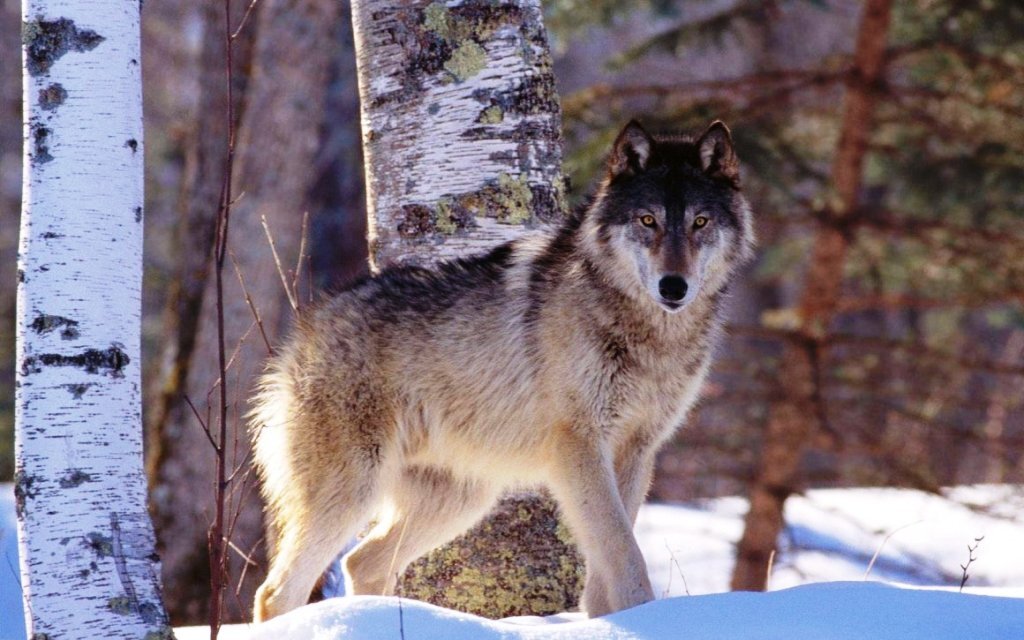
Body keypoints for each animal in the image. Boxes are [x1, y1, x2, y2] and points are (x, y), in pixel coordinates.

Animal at [251, 118, 757, 618]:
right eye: (648, 220)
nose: (673, 287)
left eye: (700, 222)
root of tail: (304, 328)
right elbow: (624, 552)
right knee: (275, 592)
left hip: (461, 501)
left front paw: (611, 622)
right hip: (354, 491)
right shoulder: (578, 446)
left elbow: (609, 560)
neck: (649, 336)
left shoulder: (636, 450)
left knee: (361, 562)